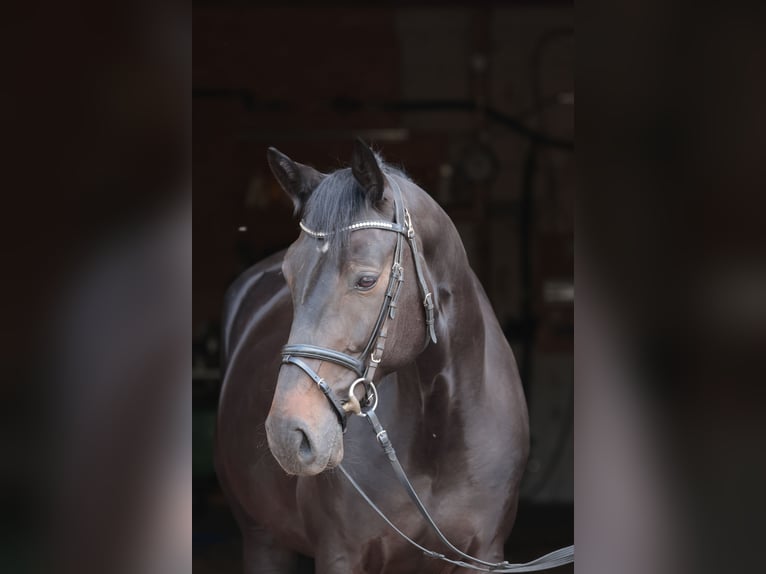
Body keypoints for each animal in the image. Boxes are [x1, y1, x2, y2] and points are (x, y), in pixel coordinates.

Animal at [215, 140, 530, 573]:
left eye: (366, 280)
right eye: (288, 276)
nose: (287, 433)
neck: (438, 430)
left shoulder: (486, 555)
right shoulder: (340, 554)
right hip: (263, 539)